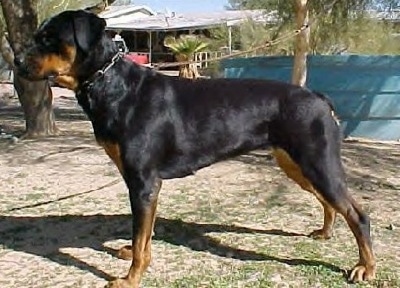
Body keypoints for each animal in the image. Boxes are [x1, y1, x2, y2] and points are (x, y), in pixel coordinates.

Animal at [15, 9, 376, 288]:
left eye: (48, 38)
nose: (16, 61)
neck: (112, 84)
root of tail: (318, 97)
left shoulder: (143, 182)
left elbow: (140, 235)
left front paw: (130, 278)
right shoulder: (146, 185)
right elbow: (144, 234)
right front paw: (134, 256)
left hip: (317, 162)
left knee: (357, 214)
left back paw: (365, 268)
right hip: (297, 164)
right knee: (330, 203)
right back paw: (325, 233)